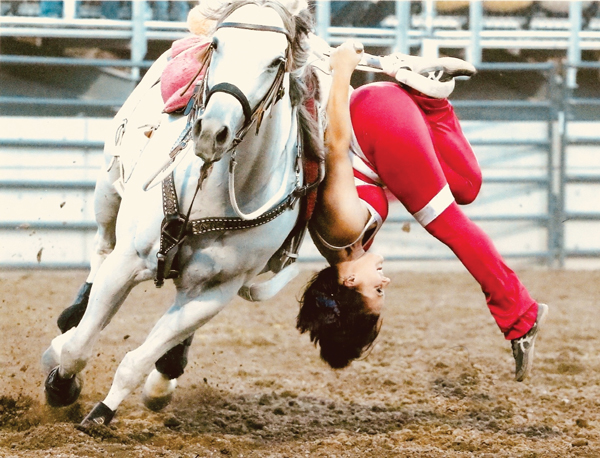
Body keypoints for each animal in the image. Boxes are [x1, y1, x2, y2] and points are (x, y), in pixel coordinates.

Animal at [43, 1, 324, 428]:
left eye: (277, 61)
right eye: (217, 44)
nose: (212, 131)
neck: (210, 187)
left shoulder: (215, 292)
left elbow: (138, 360)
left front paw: (104, 412)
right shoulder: (127, 263)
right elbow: (78, 347)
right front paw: (60, 385)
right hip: (107, 190)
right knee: (101, 250)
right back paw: (72, 315)